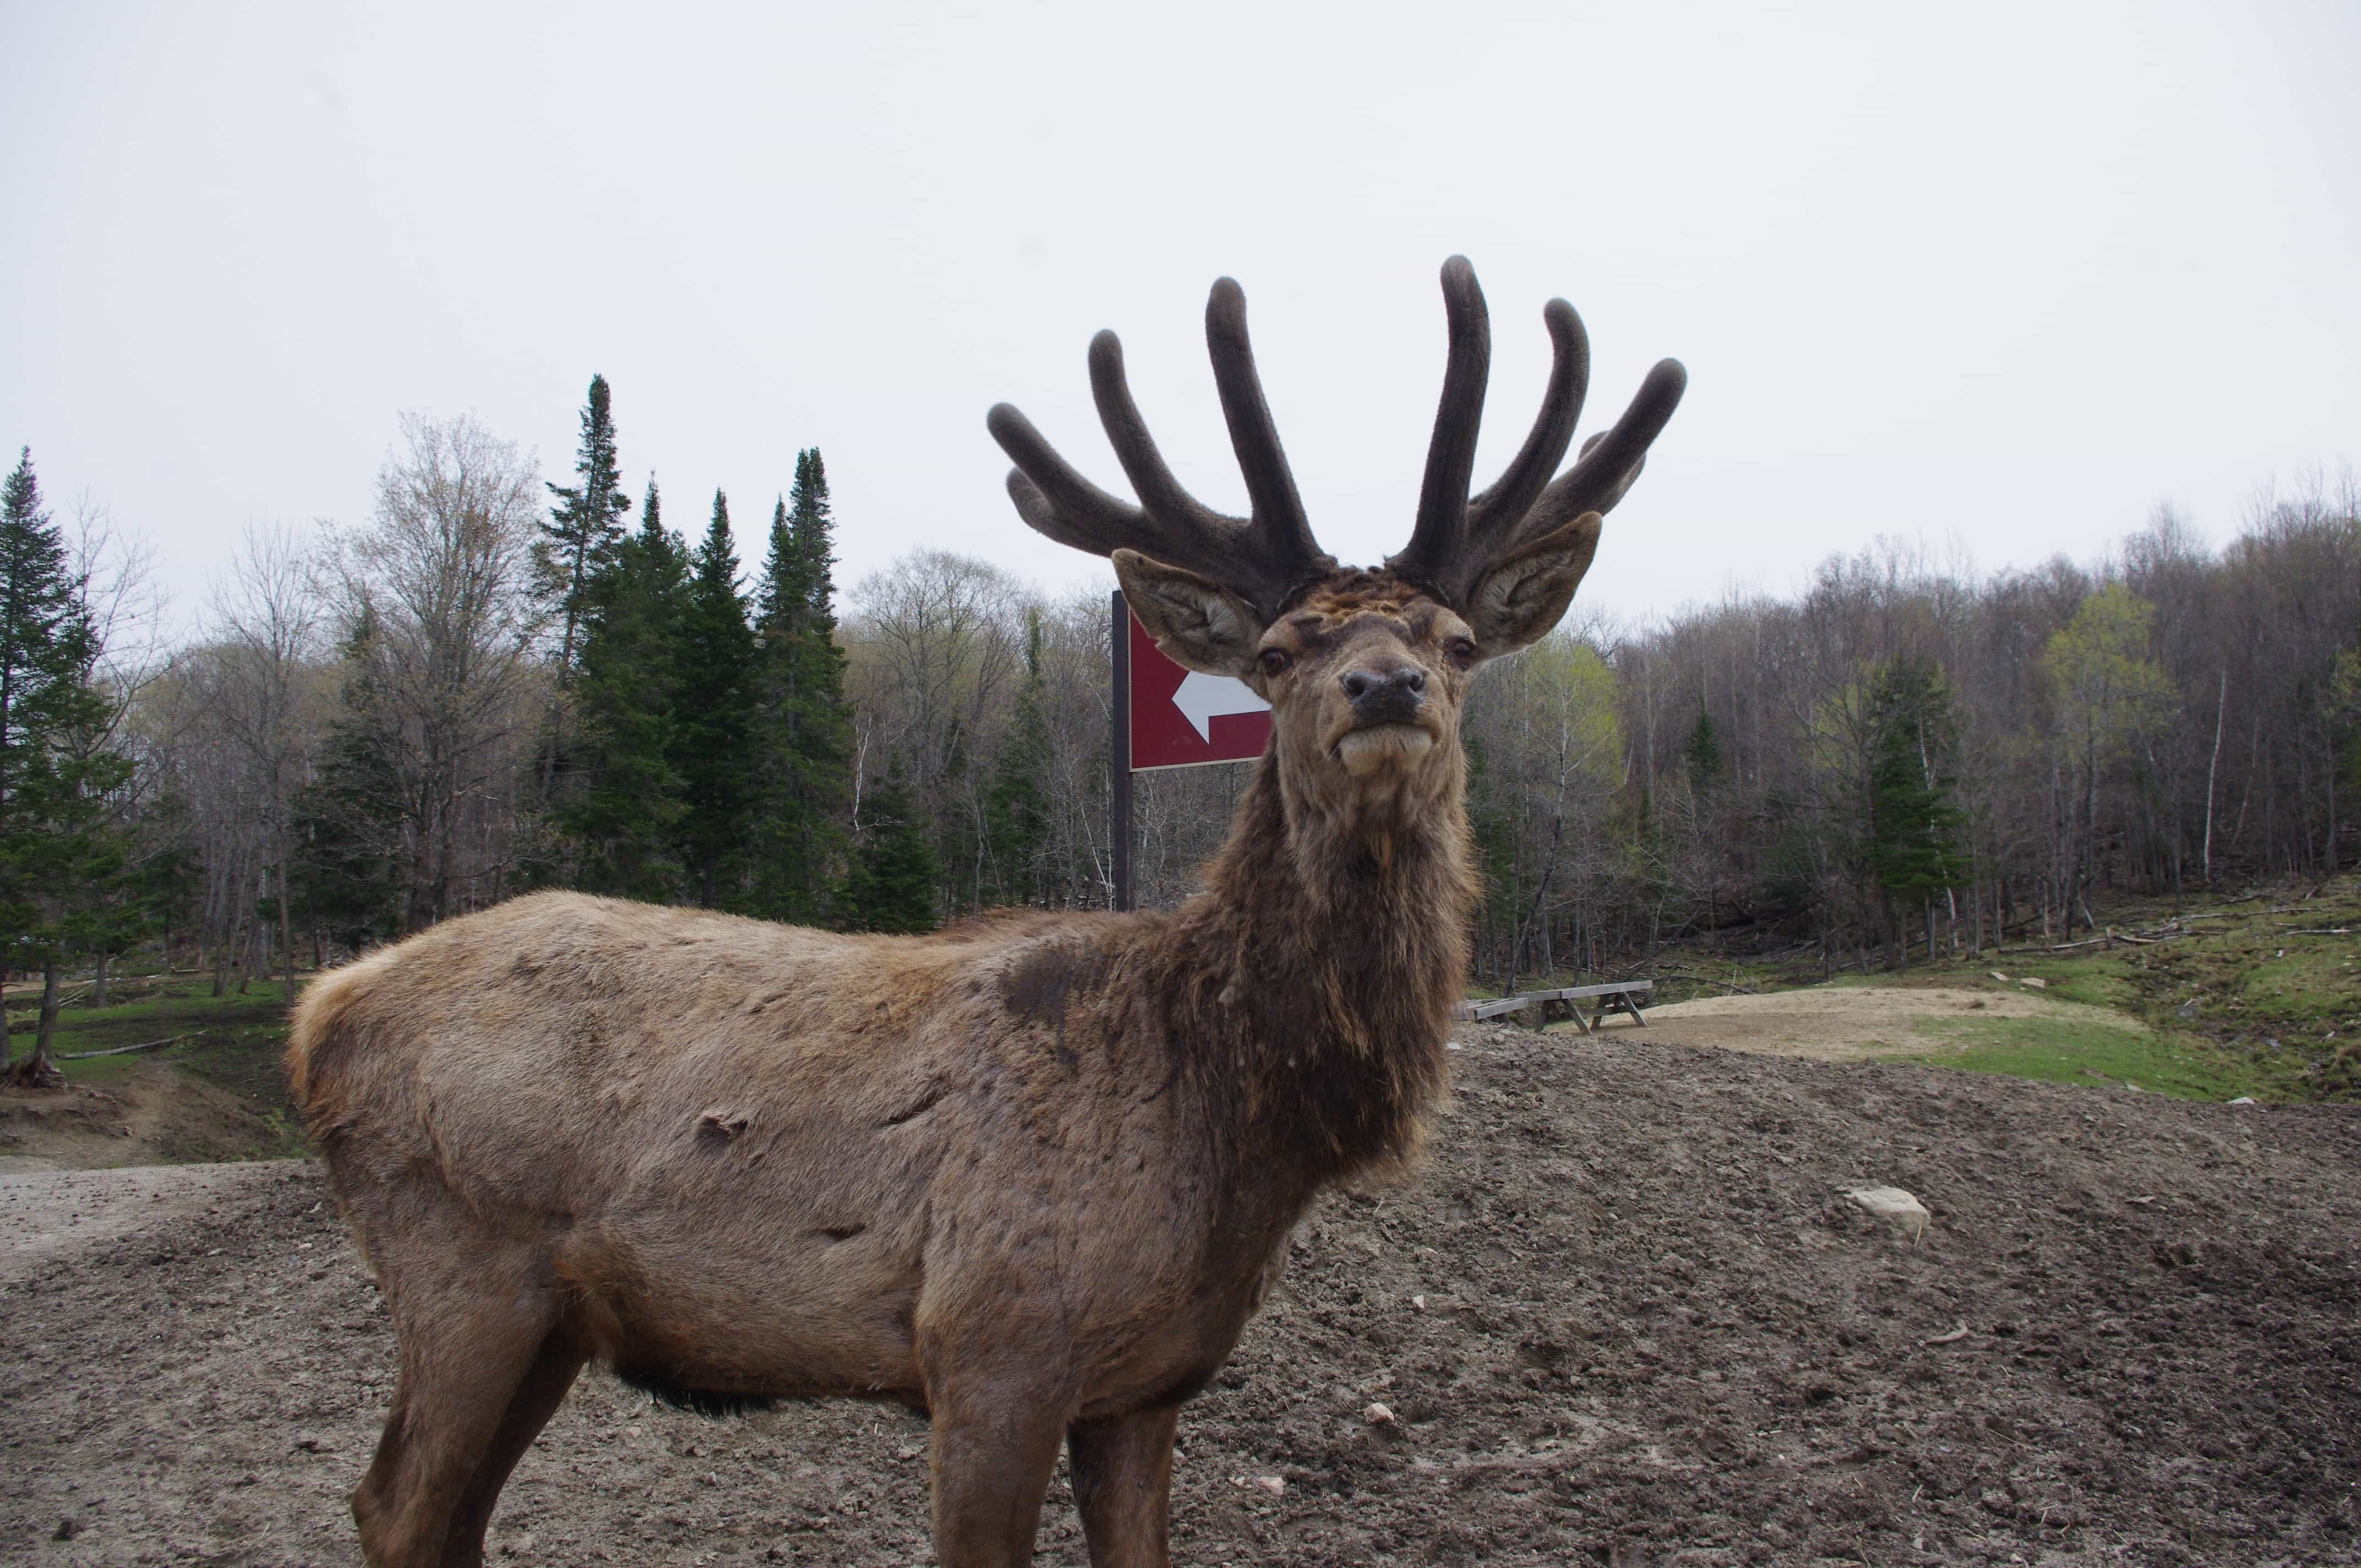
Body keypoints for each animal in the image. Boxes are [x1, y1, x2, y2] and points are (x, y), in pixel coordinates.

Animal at [290, 259, 1681, 1567]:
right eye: (1278, 651)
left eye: (1454, 640)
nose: (1384, 684)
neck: (1238, 1115)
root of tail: (322, 1007)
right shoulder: (991, 1337)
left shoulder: (1144, 1381)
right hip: (463, 1258)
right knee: (394, 1502)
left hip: (547, 1314)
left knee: (444, 1512)